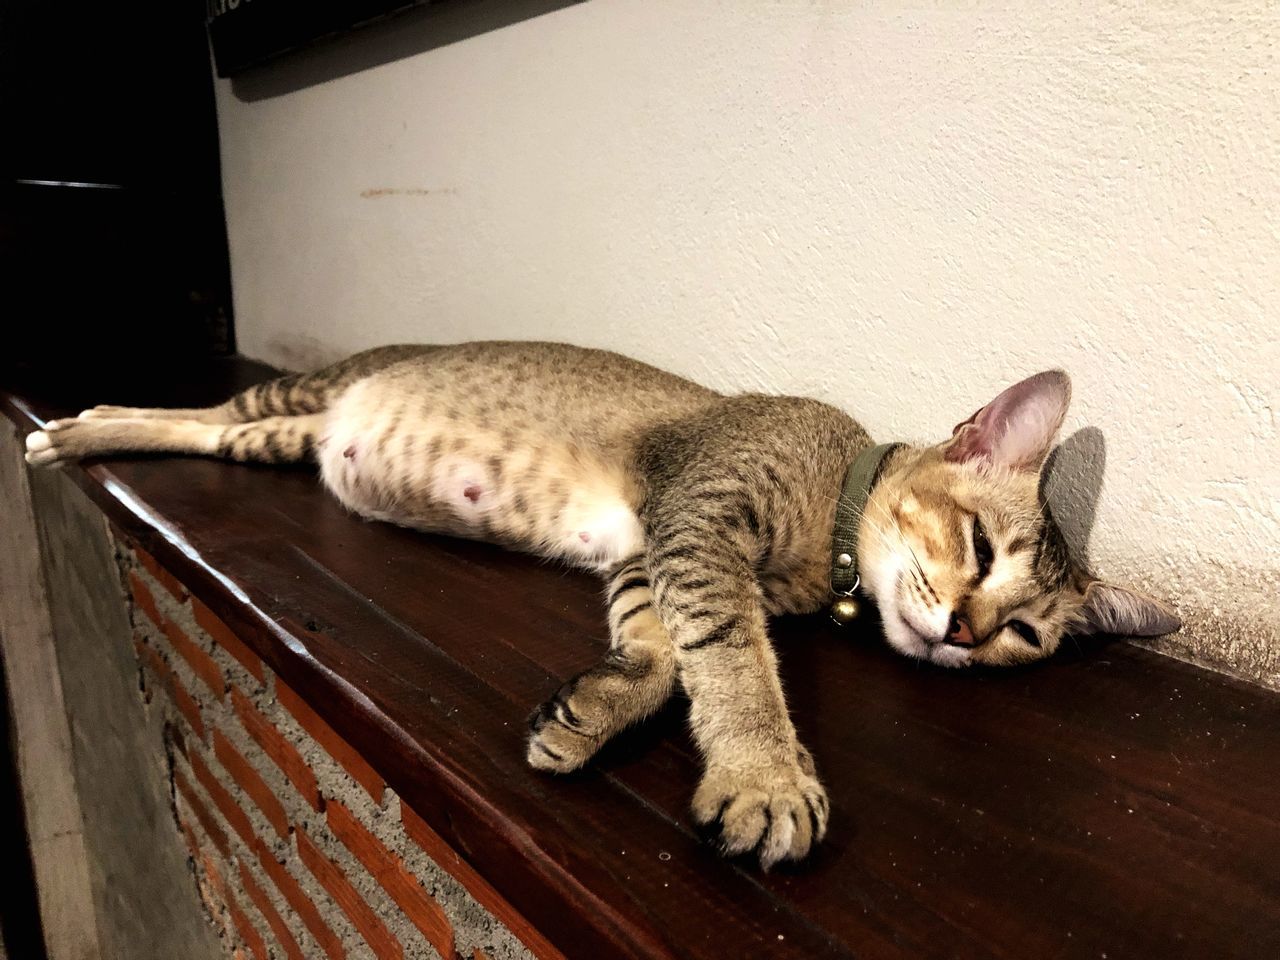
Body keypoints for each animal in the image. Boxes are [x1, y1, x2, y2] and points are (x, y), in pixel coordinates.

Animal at [22, 343, 1177, 870]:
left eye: (1023, 635)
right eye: (980, 549)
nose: (964, 635)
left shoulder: (645, 554)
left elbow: (663, 653)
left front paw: (593, 711)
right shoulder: (698, 524)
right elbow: (734, 663)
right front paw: (765, 777)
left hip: (280, 439)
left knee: (213, 433)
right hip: (293, 395)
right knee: (192, 407)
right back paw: (70, 430)